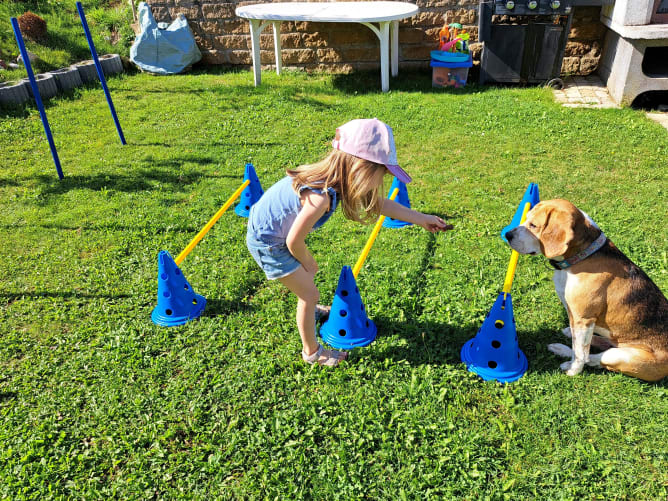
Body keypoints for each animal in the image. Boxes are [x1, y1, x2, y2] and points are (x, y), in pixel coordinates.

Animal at [506, 198, 668, 378]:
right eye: (526, 218)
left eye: (534, 225)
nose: (507, 235)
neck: (582, 257)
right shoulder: (573, 314)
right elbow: (578, 346)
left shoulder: (583, 319)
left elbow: (580, 353)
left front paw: (574, 370)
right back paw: (563, 345)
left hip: (621, 356)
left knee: (594, 358)